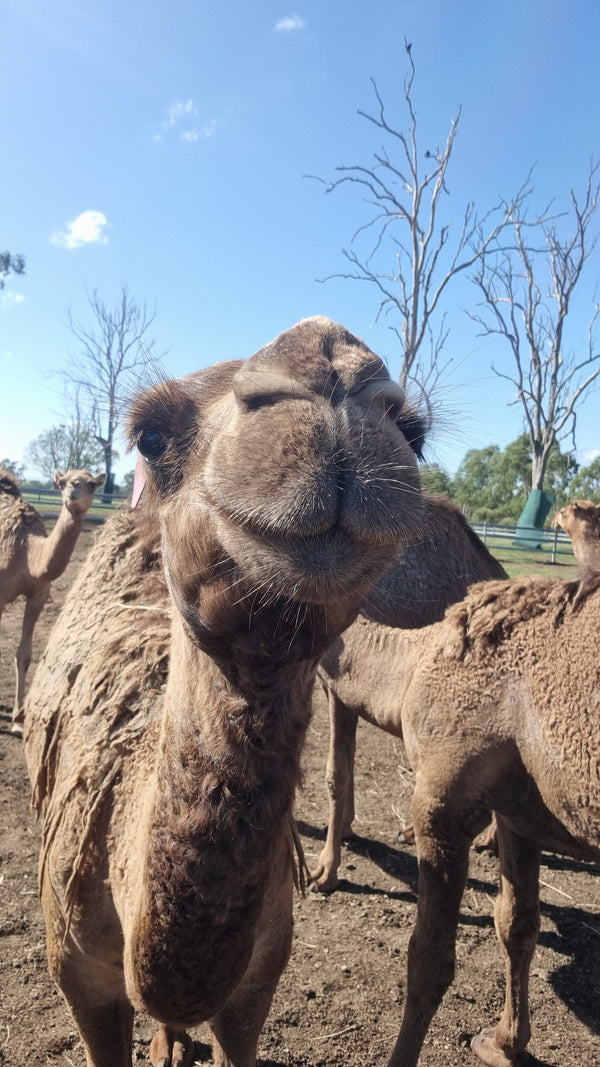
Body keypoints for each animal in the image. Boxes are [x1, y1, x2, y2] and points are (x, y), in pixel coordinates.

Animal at [0, 467, 105, 731]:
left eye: (92, 483)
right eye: (63, 481)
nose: (74, 489)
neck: (26, 551)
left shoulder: (39, 594)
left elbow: (24, 655)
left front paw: (18, 720)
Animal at [310, 494, 508, 892]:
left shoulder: (342, 687)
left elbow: (335, 772)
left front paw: (326, 870)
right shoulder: (334, 687)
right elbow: (346, 761)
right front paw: (347, 829)